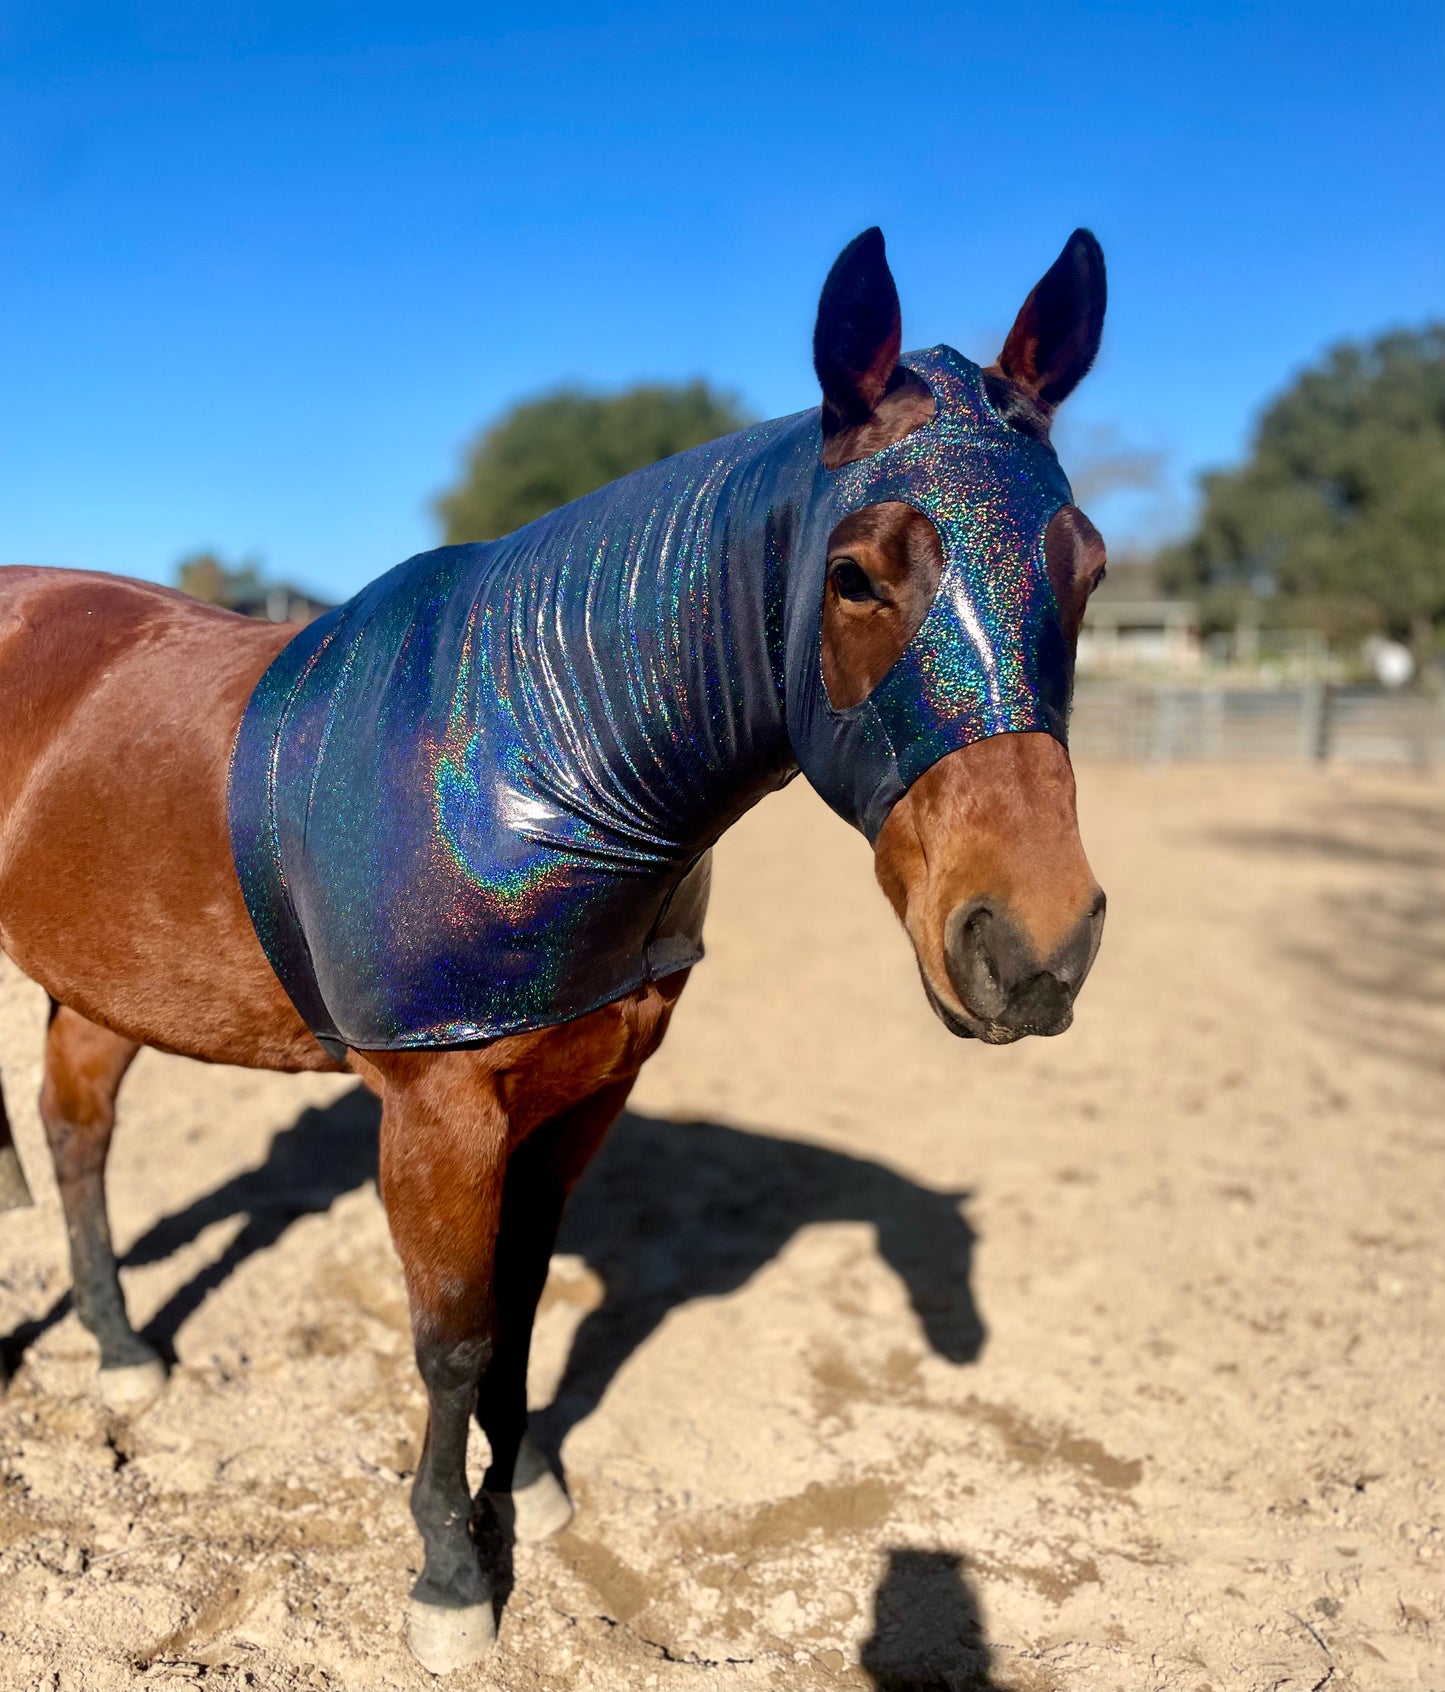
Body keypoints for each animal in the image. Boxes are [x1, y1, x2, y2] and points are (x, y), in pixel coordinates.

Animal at [0, 221, 1116, 1664]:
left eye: (1087, 572)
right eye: (855, 574)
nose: (1031, 949)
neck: (535, 749)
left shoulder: (586, 1089)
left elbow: (523, 1307)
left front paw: (525, 1480)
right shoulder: (438, 1116)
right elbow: (453, 1337)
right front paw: (448, 1574)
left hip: (106, 984)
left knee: (76, 1134)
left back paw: (123, 1352)